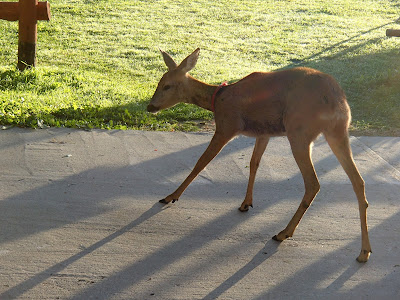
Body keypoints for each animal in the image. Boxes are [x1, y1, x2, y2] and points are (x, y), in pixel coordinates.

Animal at [147, 48, 372, 262]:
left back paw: (283, 233)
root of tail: (336, 100)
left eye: (167, 85)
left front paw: (171, 196)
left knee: (313, 183)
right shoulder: (263, 133)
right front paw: (246, 203)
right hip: (338, 131)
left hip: (299, 131)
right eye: (159, 82)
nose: (150, 106)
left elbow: (201, 162)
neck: (217, 99)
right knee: (358, 181)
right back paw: (364, 252)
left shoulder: (227, 126)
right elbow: (254, 162)